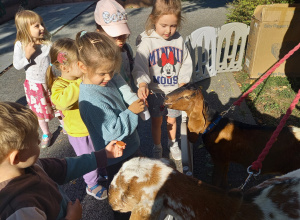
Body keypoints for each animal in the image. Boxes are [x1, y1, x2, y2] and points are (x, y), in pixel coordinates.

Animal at [164, 82, 300, 189]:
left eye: (187, 96)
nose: (165, 98)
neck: (214, 124)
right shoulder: (226, 159)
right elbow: (224, 178)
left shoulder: (218, 159)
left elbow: (216, 181)